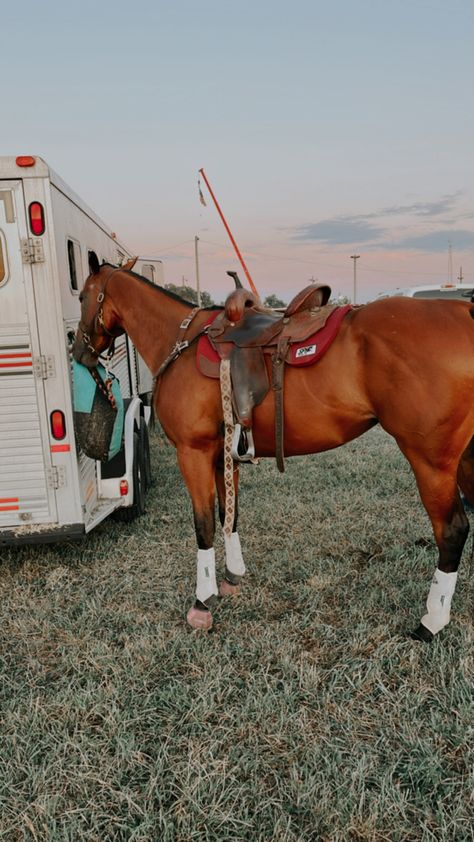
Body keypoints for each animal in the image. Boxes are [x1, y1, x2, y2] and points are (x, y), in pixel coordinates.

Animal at [72, 253, 474, 640]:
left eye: (81, 296)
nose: (79, 351)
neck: (179, 340)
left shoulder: (193, 452)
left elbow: (203, 524)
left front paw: (202, 601)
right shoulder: (223, 453)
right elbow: (229, 514)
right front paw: (232, 576)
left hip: (431, 461)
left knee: (452, 531)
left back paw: (432, 620)